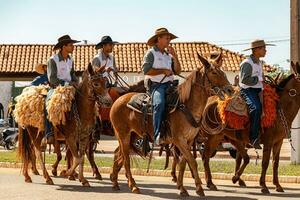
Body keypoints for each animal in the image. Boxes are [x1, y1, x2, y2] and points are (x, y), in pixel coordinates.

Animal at [109, 54, 233, 198]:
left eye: (223, 72)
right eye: (213, 72)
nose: (230, 90)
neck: (186, 106)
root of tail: (118, 100)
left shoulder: (188, 140)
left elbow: (184, 162)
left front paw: (182, 187)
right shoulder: (179, 140)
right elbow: (192, 161)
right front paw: (198, 188)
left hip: (132, 136)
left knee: (118, 155)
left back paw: (115, 182)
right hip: (123, 135)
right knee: (125, 159)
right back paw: (133, 186)